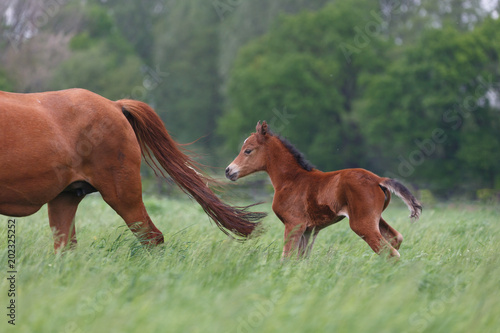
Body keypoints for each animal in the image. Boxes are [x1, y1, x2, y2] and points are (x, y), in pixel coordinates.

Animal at [227, 120, 422, 258]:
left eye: (248, 150)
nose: (229, 171)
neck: (291, 179)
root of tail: (378, 180)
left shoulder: (293, 224)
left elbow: (287, 257)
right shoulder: (309, 230)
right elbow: (301, 259)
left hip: (361, 223)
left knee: (390, 253)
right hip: (376, 219)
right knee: (396, 239)